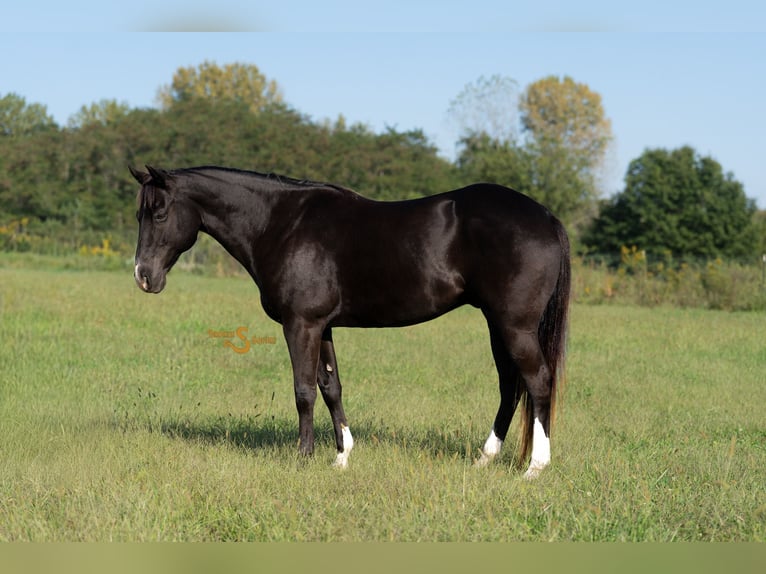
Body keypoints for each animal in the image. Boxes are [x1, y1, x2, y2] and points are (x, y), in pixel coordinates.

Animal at [130, 165, 570, 478]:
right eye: (139, 214)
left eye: (160, 213)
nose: (143, 276)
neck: (280, 224)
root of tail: (546, 217)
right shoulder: (322, 326)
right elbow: (331, 387)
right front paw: (341, 456)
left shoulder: (301, 324)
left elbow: (304, 391)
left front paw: (303, 457)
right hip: (498, 325)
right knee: (510, 387)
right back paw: (485, 459)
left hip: (514, 327)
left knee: (538, 381)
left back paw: (535, 468)